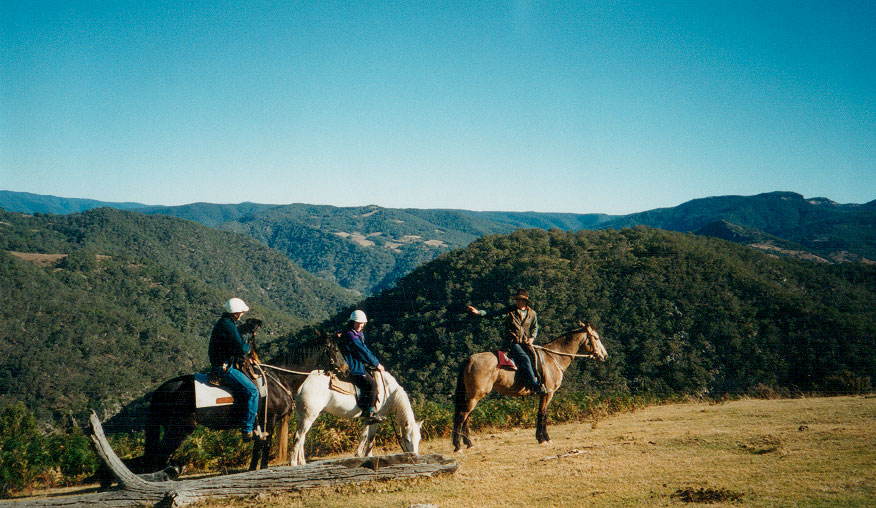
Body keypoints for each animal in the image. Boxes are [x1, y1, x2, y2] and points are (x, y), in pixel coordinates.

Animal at [290, 370, 420, 464]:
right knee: (298, 437)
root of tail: (302, 385)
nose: (415, 457)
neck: (388, 390)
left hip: (305, 416)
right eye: (407, 439)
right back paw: (294, 464)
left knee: (302, 438)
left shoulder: (368, 418)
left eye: (419, 439)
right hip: (309, 416)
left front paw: (358, 454)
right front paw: (368, 456)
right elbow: (371, 438)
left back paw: (302, 462)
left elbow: (364, 436)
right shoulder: (377, 418)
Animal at [456, 324, 604, 450]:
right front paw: (544, 439)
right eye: (596, 338)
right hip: (475, 395)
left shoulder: (544, 394)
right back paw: (458, 446)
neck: (553, 357)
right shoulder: (548, 393)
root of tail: (469, 359)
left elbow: (543, 414)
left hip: (472, 395)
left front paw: (542, 438)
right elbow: (542, 414)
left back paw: (468, 443)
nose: (604, 355)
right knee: (462, 415)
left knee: (466, 416)